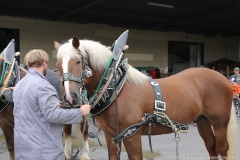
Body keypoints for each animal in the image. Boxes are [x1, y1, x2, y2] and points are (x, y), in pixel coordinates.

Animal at [55, 36, 238, 160]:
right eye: (57, 66)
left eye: (77, 62)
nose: (70, 98)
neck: (117, 88)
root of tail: (223, 78)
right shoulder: (111, 136)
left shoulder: (132, 134)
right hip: (202, 121)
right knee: (212, 148)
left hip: (219, 122)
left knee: (222, 149)